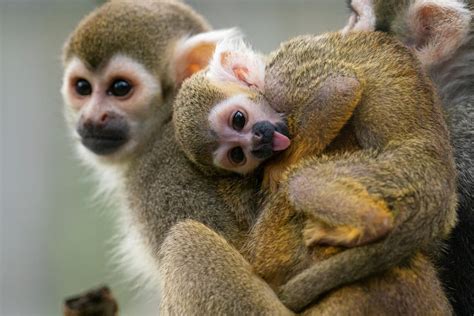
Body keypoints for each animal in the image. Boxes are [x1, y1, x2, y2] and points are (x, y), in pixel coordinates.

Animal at [173, 30, 456, 314]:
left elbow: (340, 87)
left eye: (239, 119)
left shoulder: (280, 81)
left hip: (398, 170)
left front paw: (279, 168)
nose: (259, 142)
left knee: (301, 181)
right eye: (237, 155)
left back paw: (371, 223)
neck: (265, 69)